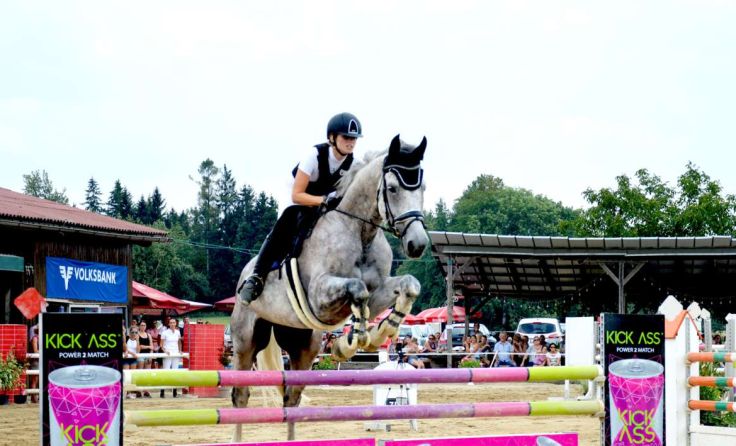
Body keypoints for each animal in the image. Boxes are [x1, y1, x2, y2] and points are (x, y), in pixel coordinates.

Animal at [230, 134, 428, 440]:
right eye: (392, 189)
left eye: (423, 188)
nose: (417, 244)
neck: (361, 232)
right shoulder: (319, 298)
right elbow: (357, 289)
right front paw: (352, 341)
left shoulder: (379, 290)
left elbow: (409, 285)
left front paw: (379, 332)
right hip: (245, 341)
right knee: (241, 396)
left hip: (303, 345)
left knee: (292, 397)